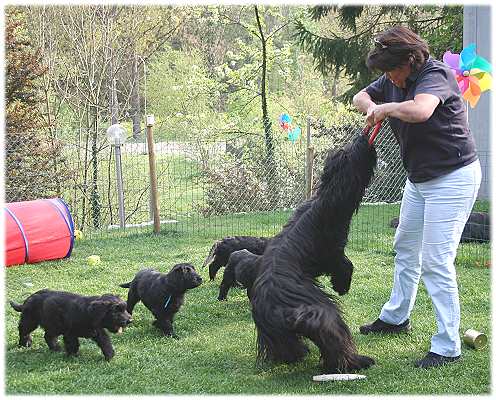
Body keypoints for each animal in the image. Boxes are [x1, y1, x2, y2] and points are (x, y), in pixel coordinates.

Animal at [250, 133, 378, 374]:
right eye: (349, 152)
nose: (363, 137)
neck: (325, 198)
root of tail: (277, 309)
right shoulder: (332, 250)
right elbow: (345, 265)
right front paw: (342, 285)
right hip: (322, 314)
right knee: (335, 340)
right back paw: (357, 361)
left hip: (274, 332)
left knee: (287, 346)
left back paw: (298, 353)